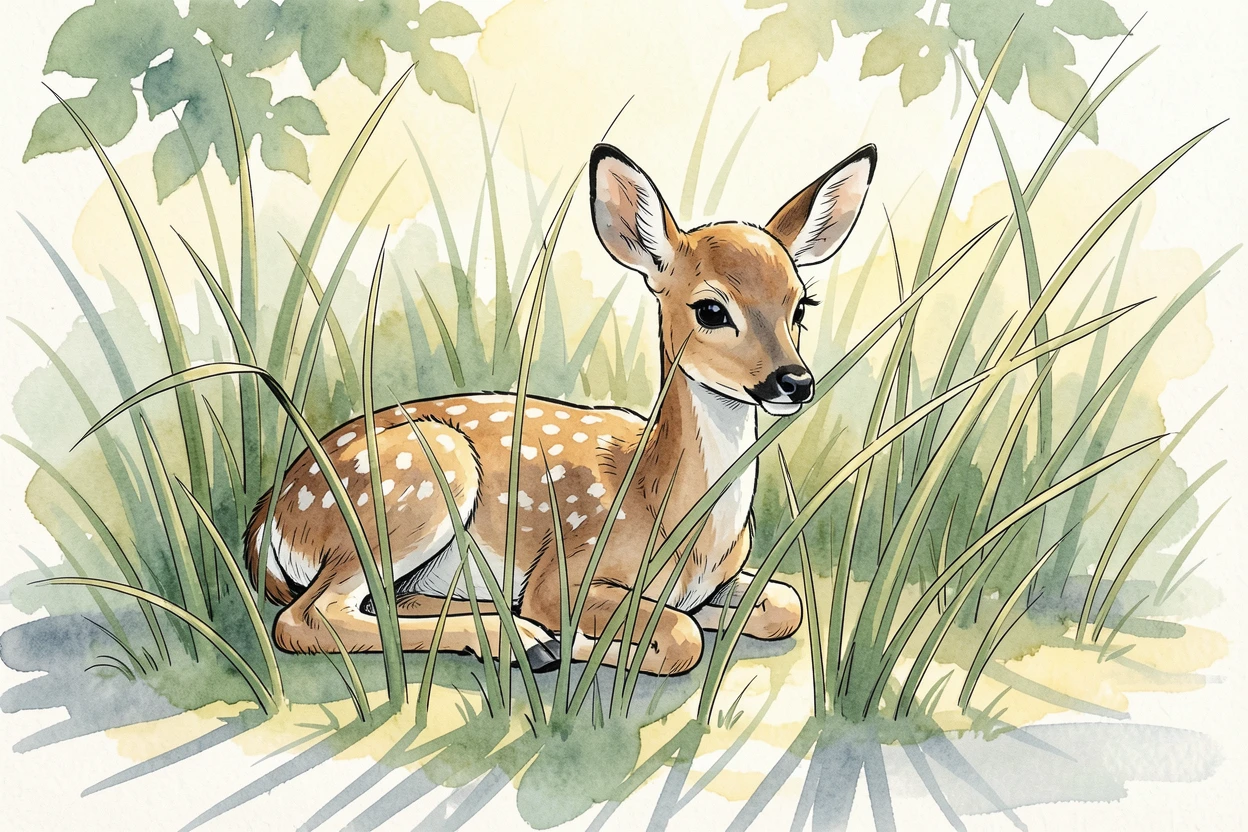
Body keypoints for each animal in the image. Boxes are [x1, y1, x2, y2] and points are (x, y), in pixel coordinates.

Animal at [245, 141, 876, 676]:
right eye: (711, 309)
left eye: (801, 305)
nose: (794, 381)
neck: (675, 519)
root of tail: (269, 518)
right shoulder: (564, 572)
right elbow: (679, 636)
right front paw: (600, 642)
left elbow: (786, 603)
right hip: (416, 482)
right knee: (304, 618)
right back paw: (532, 642)